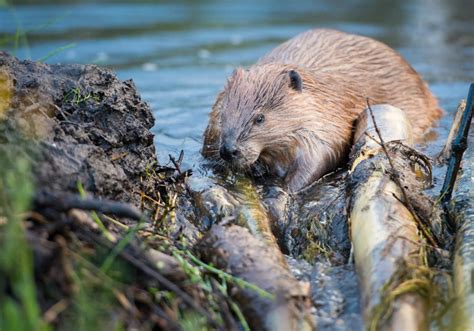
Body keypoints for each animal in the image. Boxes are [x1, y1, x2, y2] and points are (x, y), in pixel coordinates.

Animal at [201, 30, 440, 195]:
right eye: (224, 114)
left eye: (260, 118)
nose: (229, 150)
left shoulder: (325, 120)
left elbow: (320, 157)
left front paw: (285, 189)